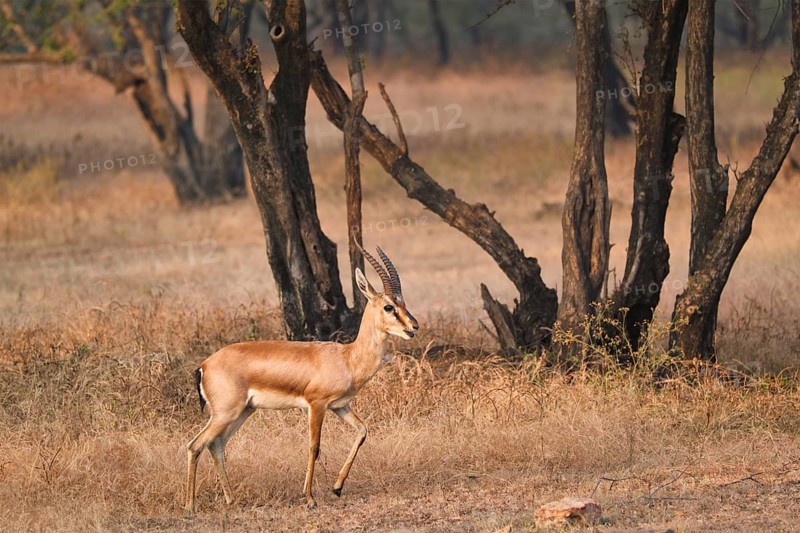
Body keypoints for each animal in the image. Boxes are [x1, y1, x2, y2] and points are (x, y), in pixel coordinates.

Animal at [185, 245, 419, 511]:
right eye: (389, 307)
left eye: (403, 302)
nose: (414, 326)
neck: (347, 358)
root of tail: (204, 365)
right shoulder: (316, 405)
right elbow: (314, 446)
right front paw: (309, 497)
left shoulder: (340, 406)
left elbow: (362, 431)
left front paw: (337, 488)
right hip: (226, 413)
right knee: (195, 445)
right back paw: (190, 506)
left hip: (243, 411)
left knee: (216, 445)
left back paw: (231, 499)